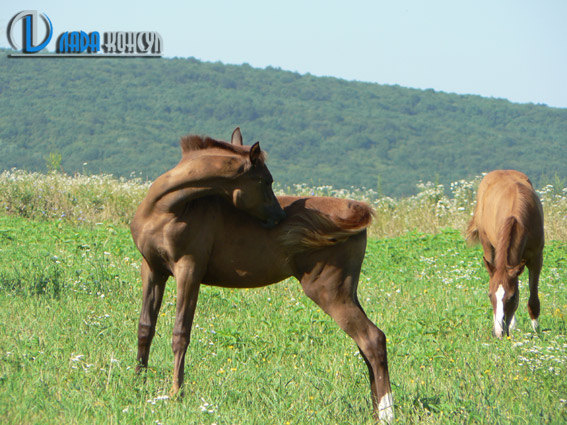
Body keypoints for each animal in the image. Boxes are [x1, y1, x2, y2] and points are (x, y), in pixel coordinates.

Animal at [131, 127, 394, 422]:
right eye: (265, 180)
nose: (278, 216)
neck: (165, 209)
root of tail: (357, 211)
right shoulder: (152, 269)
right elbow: (145, 327)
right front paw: (138, 383)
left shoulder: (188, 270)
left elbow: (180, 333)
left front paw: (176, 394)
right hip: (347, 290)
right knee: (366, 343)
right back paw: (375, 411)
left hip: (329, 290)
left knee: (372, 339)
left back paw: (387, 414)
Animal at [468, 170, 544, 338]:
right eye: (489, 295)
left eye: (512, 297)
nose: (498, 332)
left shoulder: (536, 258)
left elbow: (533, 298)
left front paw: (537, 332)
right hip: (488, 247)